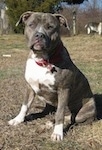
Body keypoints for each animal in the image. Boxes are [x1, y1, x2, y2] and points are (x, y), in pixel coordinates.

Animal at [8, 11, 96, 141]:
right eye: (31, 25)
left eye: (50, 27)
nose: (39, 35)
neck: (42, 60)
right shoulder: (30, 87)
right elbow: (25, 105)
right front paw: (18, 120)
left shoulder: (64, 90)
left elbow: (60, 113)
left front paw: (58, 133)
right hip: (48, 103)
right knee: (48, 112)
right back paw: (36, 117)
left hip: (85, 110)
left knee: (71, 118)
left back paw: (52, 123)